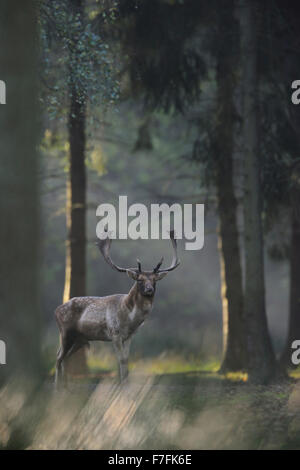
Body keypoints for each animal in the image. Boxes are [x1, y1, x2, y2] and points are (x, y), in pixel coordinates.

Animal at [54, 229, 180, 388]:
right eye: (140, 280)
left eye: (154, 280)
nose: (149, 290)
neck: (129, 320)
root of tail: (56, 310)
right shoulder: (114, 333)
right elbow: (120, 359)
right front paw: (121, 386)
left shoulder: (130, 336)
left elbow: (126, 359)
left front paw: (126, 385)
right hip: (66, 332)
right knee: (58, 357)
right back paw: (57, 388)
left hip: (80, 339)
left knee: (65, 358)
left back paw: (65, 388)